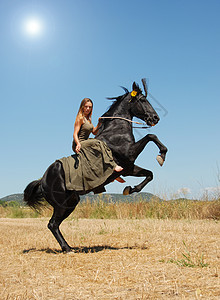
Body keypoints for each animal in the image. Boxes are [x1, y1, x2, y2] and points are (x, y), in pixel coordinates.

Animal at [23, 79, 167, 251]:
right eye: (143, 100)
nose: (155, 118)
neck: (116, 131)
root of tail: (42, 180)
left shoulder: (128, 168)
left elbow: (149, 174)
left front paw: (130, 189)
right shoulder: (129, 154)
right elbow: (151, 136)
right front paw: (162, 155)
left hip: (71, 202)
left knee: (55, 224)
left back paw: (69, 247)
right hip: (61, 204)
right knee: (52, 224)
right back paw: (68, 249)